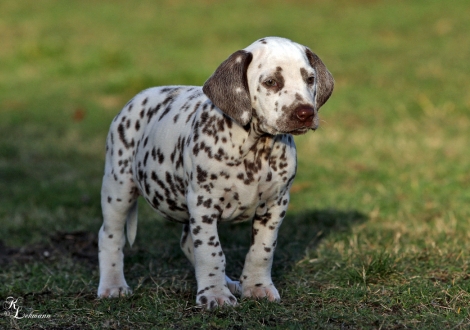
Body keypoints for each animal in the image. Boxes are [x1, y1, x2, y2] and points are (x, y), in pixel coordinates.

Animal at [97, 36, 332, 310]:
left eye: (310, 79)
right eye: (271, 82)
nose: (305, 113)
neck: (255, 149)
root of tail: (137, 98)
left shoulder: (276, 204)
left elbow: (262, 250)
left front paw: (257, 287)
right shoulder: (203, 204)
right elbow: (211, 251)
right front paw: (215, 295)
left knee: (188, 242)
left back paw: (229, 282)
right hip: (118, 187)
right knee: (110, 236)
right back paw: (113, 285)